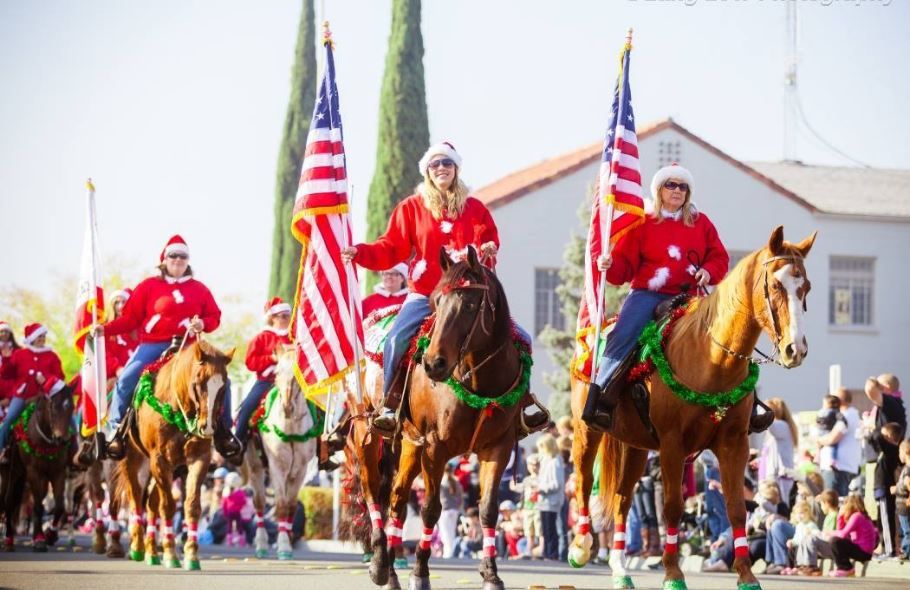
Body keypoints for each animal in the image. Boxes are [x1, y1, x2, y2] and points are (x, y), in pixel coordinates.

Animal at [0, 386, 75, 552]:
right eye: (53, 407)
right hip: (10, 473)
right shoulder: (34, 472)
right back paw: (8, 539)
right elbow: (39, 506)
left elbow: (58, 506)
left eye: (72, 407)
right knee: (8, 501)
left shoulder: (58, 472)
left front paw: (49, 535)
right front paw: (39, 539)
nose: (63, 439)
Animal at [111, 340, 233, 572]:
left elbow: (192, 506)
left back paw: (151, 552)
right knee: (136, 500)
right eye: (198, 382)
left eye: (223, 387)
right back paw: (137, 548)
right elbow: (167, 506)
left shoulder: (199, 459)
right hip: (136, 463)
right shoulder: (159, 460)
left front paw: (191, 555)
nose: (207, 428)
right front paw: (170, 555)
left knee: (150, 504)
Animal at [242, 350, 320, 560]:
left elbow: (291, 505)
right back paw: (261, 544)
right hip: (255, 467)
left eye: (297, 375)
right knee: (260, 503)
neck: (290, 428)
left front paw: (286, 543)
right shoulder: (277, 467)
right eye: (276, 372)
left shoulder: (300, 470)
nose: (287, 406)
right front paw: (284, 546)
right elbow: (281, 505)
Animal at [568, 227, 820, 590]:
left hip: (635, 446)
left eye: (806, 287)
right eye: (775, 285)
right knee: (584, 480)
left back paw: (620, 570)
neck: (712, 359)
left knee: (621, 500)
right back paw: (581, 547)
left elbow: (736, 507)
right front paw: (673, 574)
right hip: (587, 430)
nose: (795, 349)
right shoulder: (673, 445)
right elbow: (673, 507)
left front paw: (746, 576)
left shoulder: (734, 444)